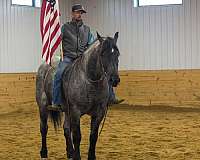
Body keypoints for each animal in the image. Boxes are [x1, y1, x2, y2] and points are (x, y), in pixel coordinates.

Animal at [35, 31, 120, 159]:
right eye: (102, 54)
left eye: (117, 54)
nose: (114, 80)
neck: (89, 81)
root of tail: (45, 66)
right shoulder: (75, 112)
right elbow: (77, 136)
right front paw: (77, 156)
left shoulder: (99, 113)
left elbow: (93, 136)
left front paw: (90, 156)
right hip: (43, 106)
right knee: (43, 128)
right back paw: (44, 152)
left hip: (66, 110)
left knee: (66, 129)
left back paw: (70, 152)